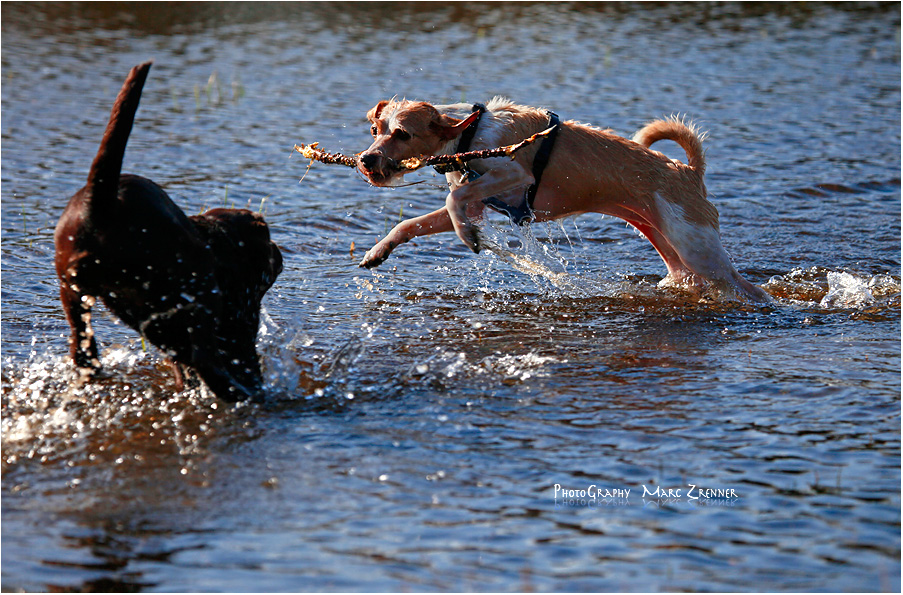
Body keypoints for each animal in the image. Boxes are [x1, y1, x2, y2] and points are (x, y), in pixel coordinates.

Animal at [54, 61, 280, 400]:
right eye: (268, 243)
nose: (279, 251)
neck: (220, 243)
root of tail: (102, 202)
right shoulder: (240, 318)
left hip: (73, 293)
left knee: (83, 351)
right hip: (199, 294)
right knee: (206, 360)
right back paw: (241, 395)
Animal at [356, 99, 768, 302]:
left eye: (403, 134)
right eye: (375, 129)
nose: (366, 160)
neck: (469, 132)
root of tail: (688, 171)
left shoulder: (514, 175)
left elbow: (456, 197)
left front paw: (468, 236)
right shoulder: (478, 199)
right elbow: (412, 222)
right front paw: (378, 251)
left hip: (699, 249)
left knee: (747, 286)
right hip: (668, 244)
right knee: (690, 279)